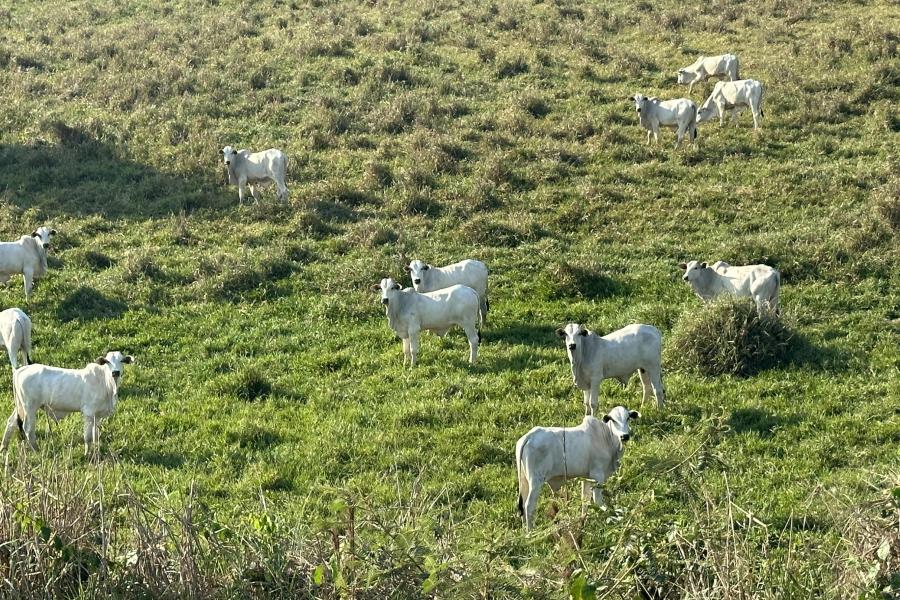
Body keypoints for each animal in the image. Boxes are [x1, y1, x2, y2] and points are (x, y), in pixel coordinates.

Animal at [1, 352, 134, 454]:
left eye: (122, 360)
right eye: (107, 361)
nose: (115, 372)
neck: (106, 384)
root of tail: (20, 370)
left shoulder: (98, 415)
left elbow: (95, 434)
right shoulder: (89, 412)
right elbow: (88, 436)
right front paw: (87, 454)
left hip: (20, 406)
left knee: (11, 422)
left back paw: (4, 447)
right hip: (30, 407)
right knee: (28, 428)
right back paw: (36, 450)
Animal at [512, 408, 640, 528]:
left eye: (628, 418)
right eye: (613, 420)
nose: (624, 436)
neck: (606, 437)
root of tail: (529, 436)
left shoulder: (587, 478)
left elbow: (585, 500)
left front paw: (583, 522)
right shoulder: (598, 476)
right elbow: (598, 501)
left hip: (524, 480)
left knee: (523, 505)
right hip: (536, 482)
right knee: (529, 506)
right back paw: (531, 531)